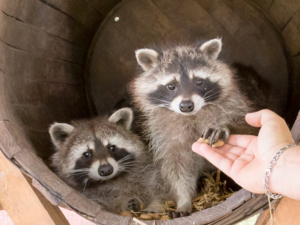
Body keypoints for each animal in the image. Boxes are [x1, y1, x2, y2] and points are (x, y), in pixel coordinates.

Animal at [131, 38, 264, 216]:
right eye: (171, 86)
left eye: (199, 82)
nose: (186, 105)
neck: (191, 116)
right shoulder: (165, 134)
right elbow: (177, 164)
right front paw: (183, 199)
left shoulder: (236, 105)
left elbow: (246, 127)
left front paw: (224, 125)